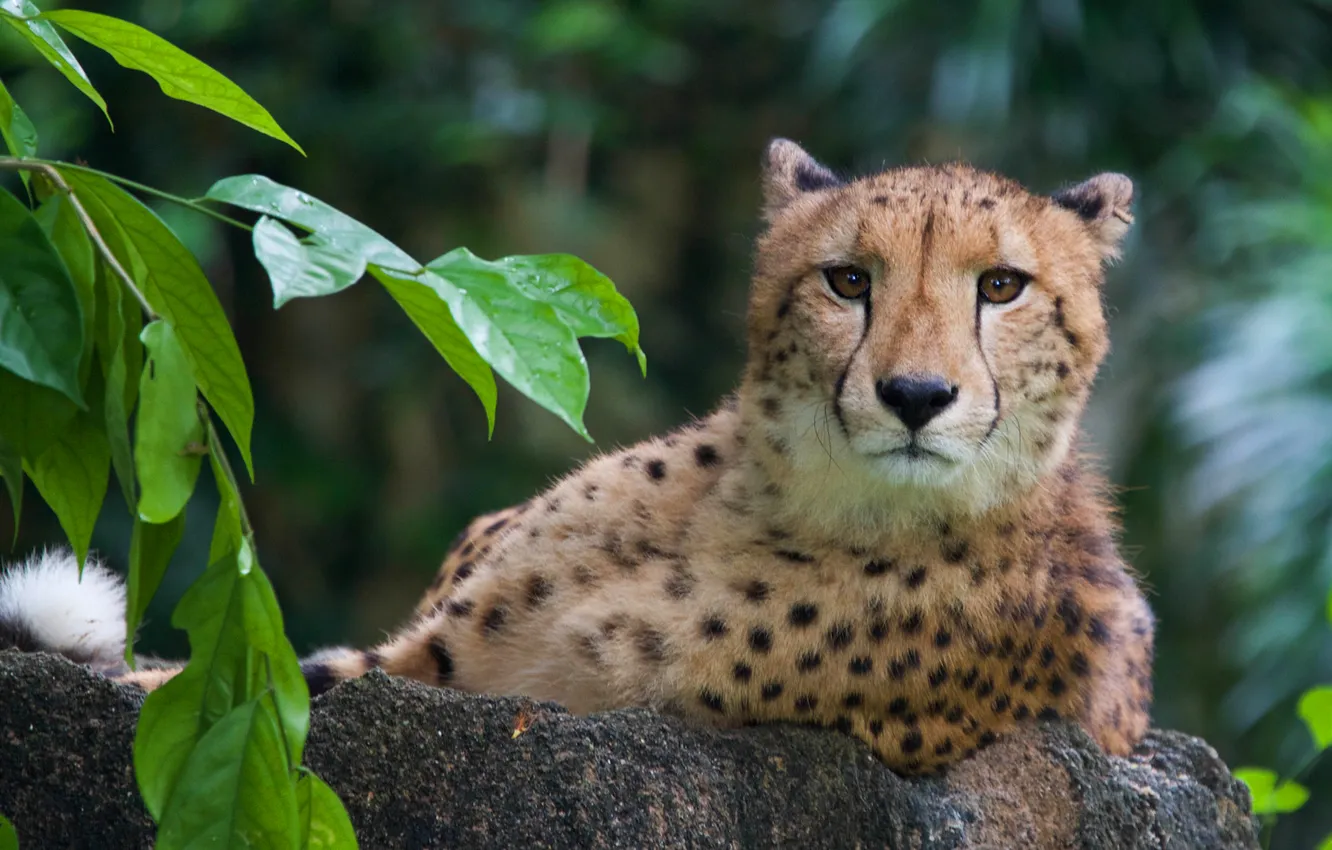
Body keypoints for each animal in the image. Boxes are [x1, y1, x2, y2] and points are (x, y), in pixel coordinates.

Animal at [0, 139, 1154, 774]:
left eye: (1001, 286)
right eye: (847, 281)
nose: (915, 397)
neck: (783, 500)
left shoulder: (494, 681)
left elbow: (245, 686)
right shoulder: (448, 644)